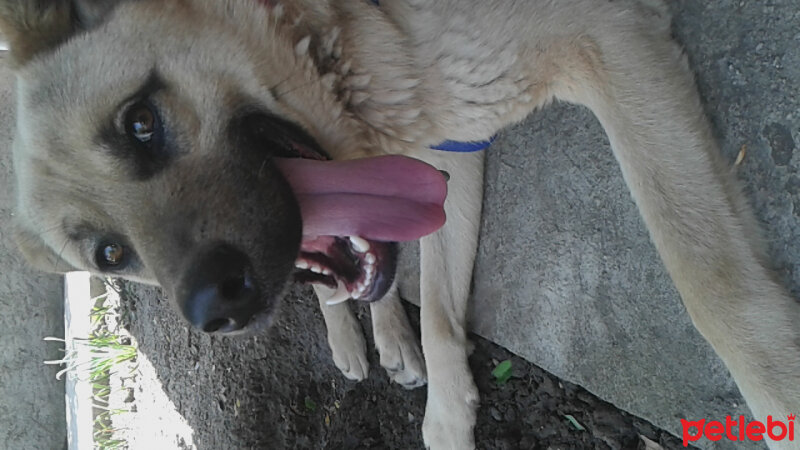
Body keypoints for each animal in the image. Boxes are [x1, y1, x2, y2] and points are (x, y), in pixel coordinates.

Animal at [1, 0, 800, 448]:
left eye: (139, 122)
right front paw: (448, 419)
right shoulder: (452, 142)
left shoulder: (601, 43)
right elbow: (440, 312)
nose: (216, 312)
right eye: (110, 253)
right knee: (348, 286)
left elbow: (711, 282)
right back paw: (366, 343)